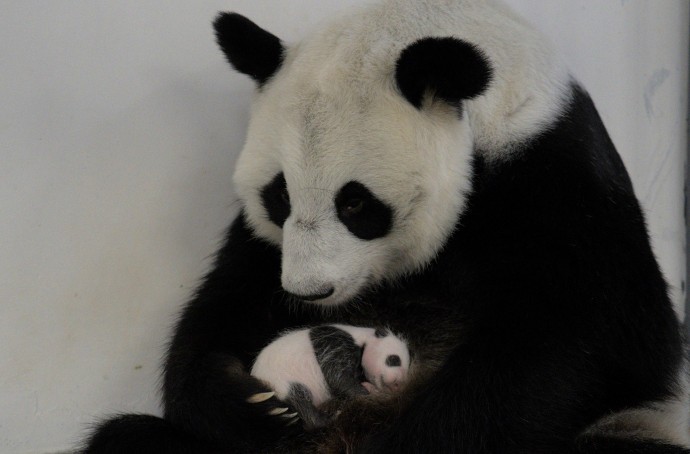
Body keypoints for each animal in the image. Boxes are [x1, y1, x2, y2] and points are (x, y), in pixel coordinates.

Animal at [82, 0, 688, 454]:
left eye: (355, 203)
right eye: (279, 195)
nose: (310, 292)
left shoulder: (555, 174)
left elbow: (592, 338)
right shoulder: (264, 248)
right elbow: (225, 308)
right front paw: (249, 402)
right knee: (127, 439)